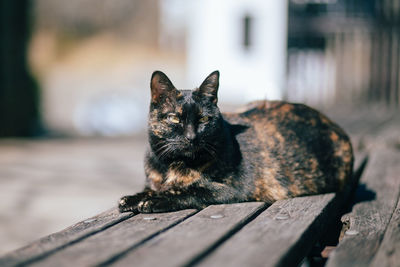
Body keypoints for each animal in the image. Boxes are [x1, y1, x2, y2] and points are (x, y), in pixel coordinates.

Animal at [119, 70, 354, 214]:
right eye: (174, 118)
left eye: (204, 119)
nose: (191, 137)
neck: (171, 165)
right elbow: (155, 188)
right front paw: (134, 198)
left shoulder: (229, 189)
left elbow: (188, 192)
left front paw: (155, 200)